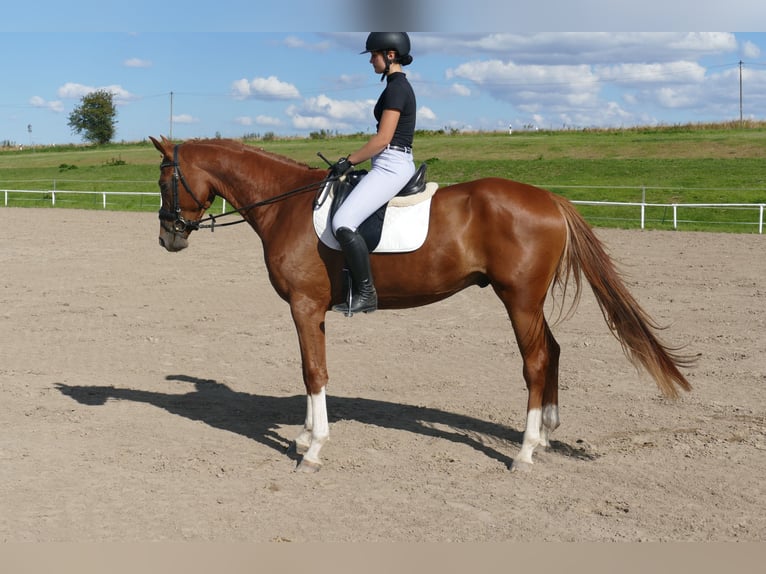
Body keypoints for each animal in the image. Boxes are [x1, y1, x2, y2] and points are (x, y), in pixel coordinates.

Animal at [149, 135, 695, 473]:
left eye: (162, 180)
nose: (168, 238)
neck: (287, 204)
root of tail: (550, 199)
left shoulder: (304, 306)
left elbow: (313, 371)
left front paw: (313, 450)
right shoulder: (312, 311)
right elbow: (310, 370)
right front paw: (304, 436)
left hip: (518, 300)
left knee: (537, 361)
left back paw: (523, 453)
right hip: (530, 303)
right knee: (554, 352)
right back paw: (545, 435)